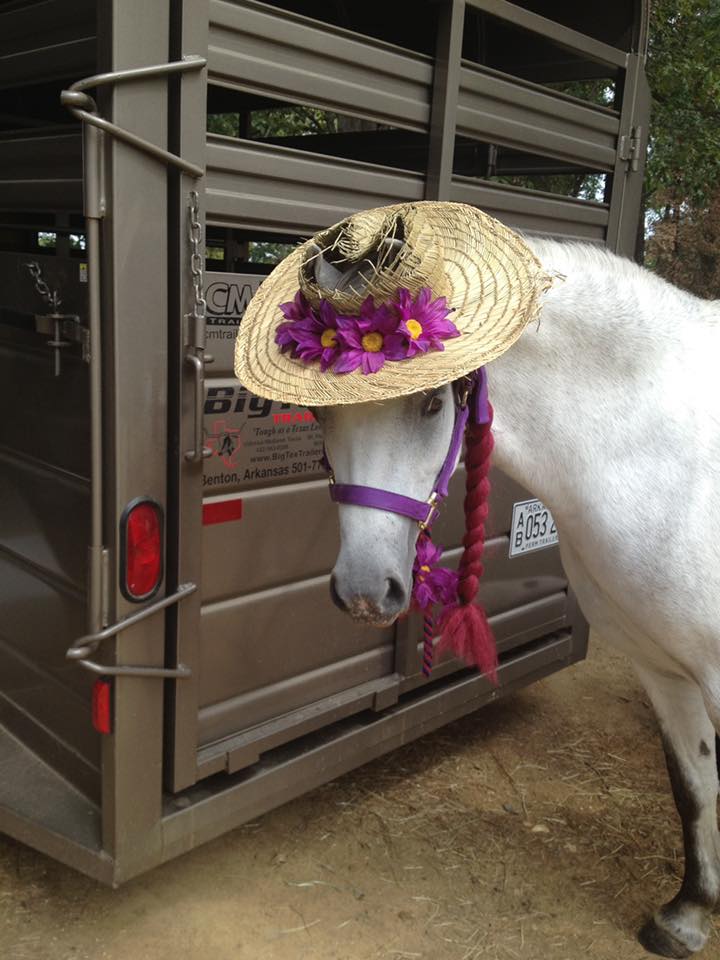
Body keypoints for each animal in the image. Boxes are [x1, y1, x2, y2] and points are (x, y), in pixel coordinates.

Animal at [315, 238, 720, 958]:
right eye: (320, 410)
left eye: (431, 403)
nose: (364, 591)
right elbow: (694, 786)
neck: (665, 451)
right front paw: (688, 915)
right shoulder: (664, 667)